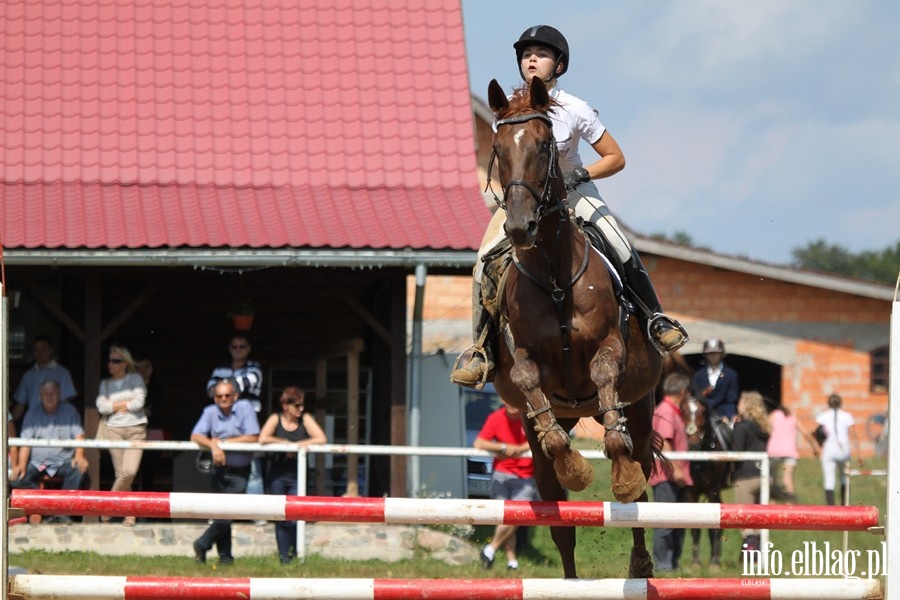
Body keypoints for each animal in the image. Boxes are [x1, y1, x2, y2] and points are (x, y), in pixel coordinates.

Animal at [486, 77, 660, 580]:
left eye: (546, 146)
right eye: (498, 149)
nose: (519, 226)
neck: (554, 272)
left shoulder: (610, 345)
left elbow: (605, 379)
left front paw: (619, 476)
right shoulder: (522, 352)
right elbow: (527, 377)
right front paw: (576, 468)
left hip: (641, 407)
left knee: (643, 484)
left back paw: (640, 560)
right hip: (541, 428)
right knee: (556, 512)